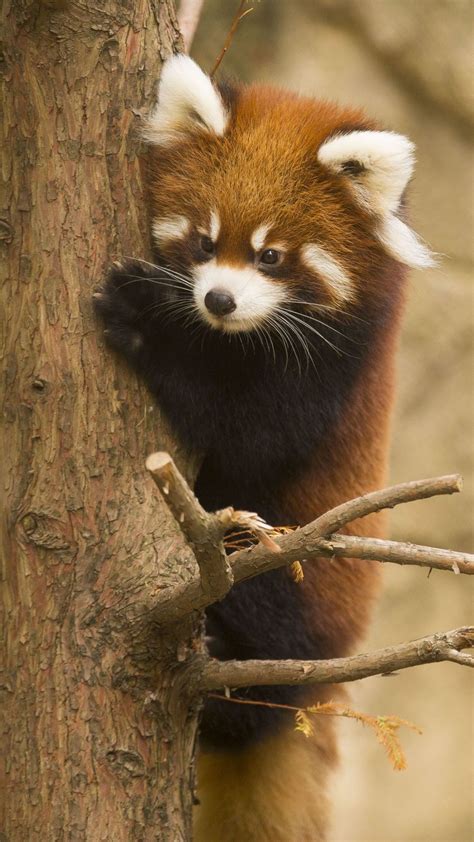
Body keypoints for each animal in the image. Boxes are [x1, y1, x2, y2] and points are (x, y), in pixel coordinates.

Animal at [95, 55, 434, 836]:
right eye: (202, 241)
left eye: (271, 255)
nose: (217, 300)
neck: (233, 338)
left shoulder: (336, 366)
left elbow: (246, 432)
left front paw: (147, 322)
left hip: (298, 580)